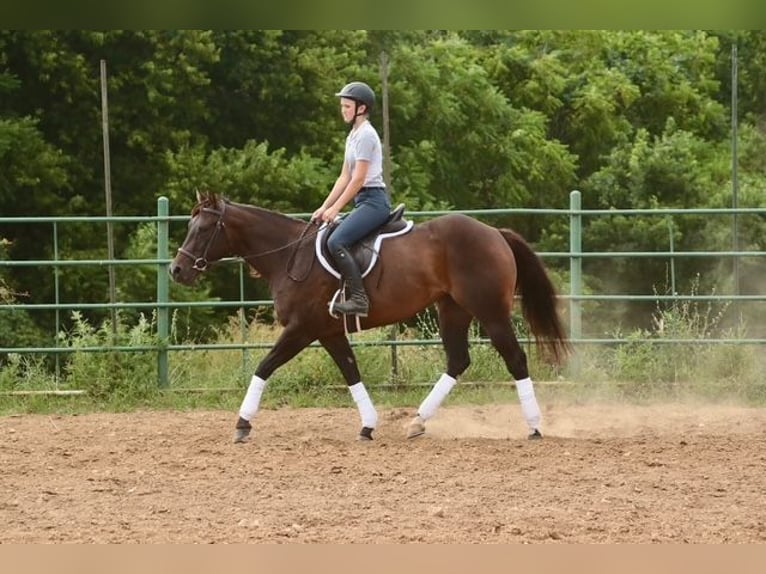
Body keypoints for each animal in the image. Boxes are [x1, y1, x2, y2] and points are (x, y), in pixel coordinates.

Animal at [169, 192, 571, 443]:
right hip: (452, 310)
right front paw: (368, 426)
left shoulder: (302, 329)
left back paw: (535, 427)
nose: (177, 270)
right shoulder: (329, 332)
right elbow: (351, 373)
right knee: (458, 360)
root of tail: (494, 233)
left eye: (203, 229)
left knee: (515, 358)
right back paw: (417, 422)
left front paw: (242, 424)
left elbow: (264, 367)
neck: (290, 256)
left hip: (490, 312)